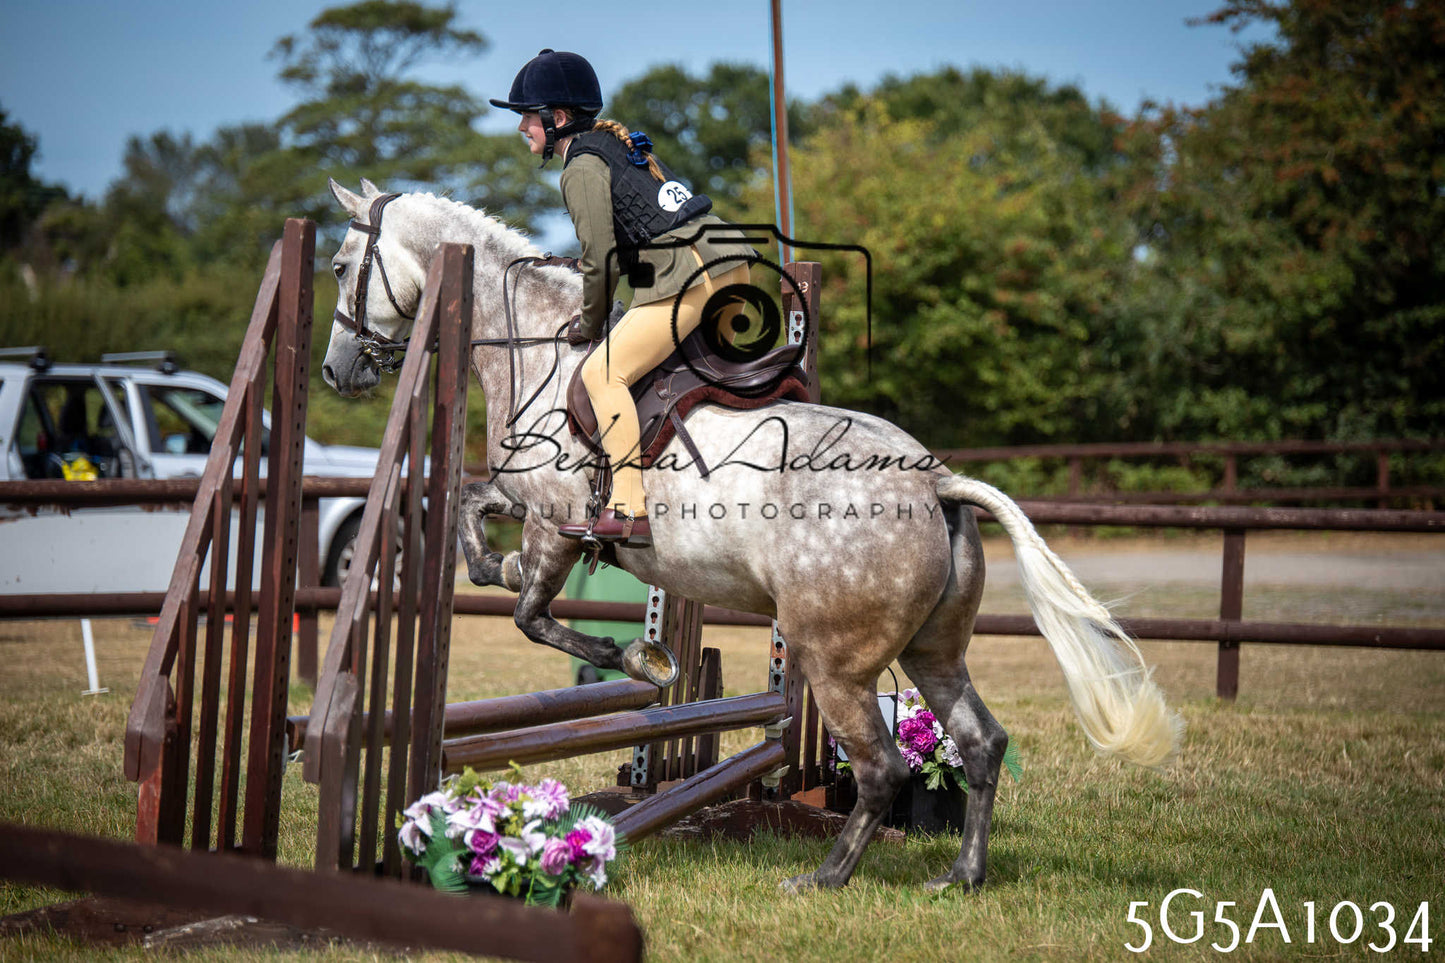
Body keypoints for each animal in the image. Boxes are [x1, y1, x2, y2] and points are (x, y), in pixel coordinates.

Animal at [321, 178, 1183, 893]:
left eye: (338, 265)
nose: (334, 372)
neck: (536, 347)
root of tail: (935, 482)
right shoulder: (521, 500)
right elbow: (474, 515)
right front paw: (499, 568)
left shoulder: (552, 518)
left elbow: (531, 611)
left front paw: (636, 657)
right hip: (932, 651)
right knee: (980, 740)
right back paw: (961, 875)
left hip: (833, 659)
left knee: (881, 766)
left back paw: (823, 876)